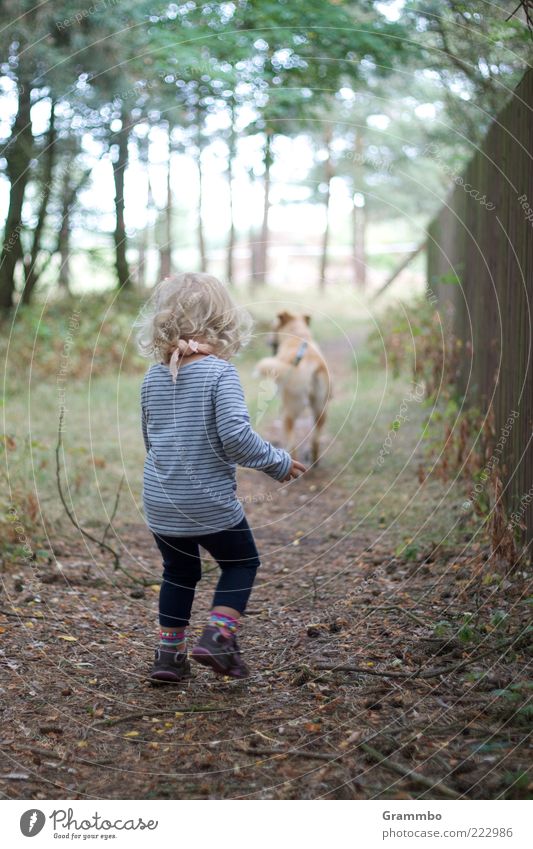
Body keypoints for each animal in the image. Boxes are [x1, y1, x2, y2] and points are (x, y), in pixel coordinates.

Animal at [254, 312, 328, 464]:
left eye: (273, 327)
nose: (268, 342)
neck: (297, 334)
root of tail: (309, 364)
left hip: (289, 413)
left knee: (292, 444)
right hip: (320, 409)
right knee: (315, 439)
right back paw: (314, 459)